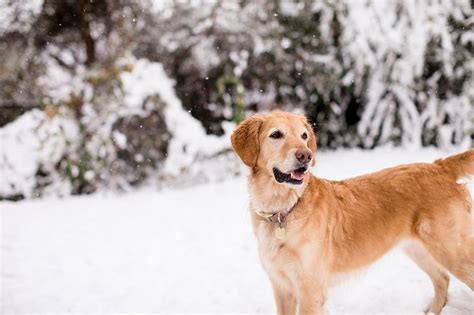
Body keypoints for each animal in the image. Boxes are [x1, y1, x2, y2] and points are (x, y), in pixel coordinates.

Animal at [231, 111, 474, 315]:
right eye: (276, 134)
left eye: (303, 136)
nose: (305, 156)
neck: (285, 209)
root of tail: (440, 167)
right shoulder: (282, 287)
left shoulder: (311, 291)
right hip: (419, 248)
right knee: (442, 279)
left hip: (451, 250)